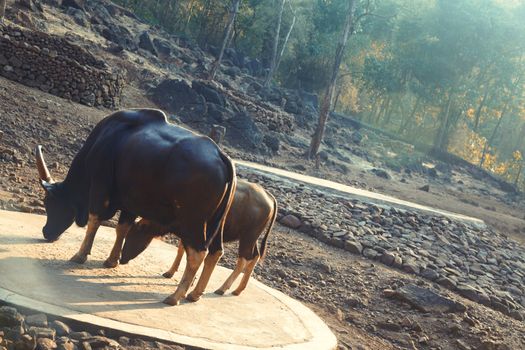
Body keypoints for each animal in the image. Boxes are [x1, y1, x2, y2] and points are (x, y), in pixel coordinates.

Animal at [34, 108, 235, 304]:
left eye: (49, 202)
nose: (46, 232)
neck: (107, 139)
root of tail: (221, 156)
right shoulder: (130, 203)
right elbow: (122, 228)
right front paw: (111, 260)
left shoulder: (99, 187)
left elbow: (94, 219)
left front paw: (80, 255)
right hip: (217, 223)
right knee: (216, 252)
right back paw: (195, 294)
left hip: (193, 220)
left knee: (197, 253)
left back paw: (175, 296)